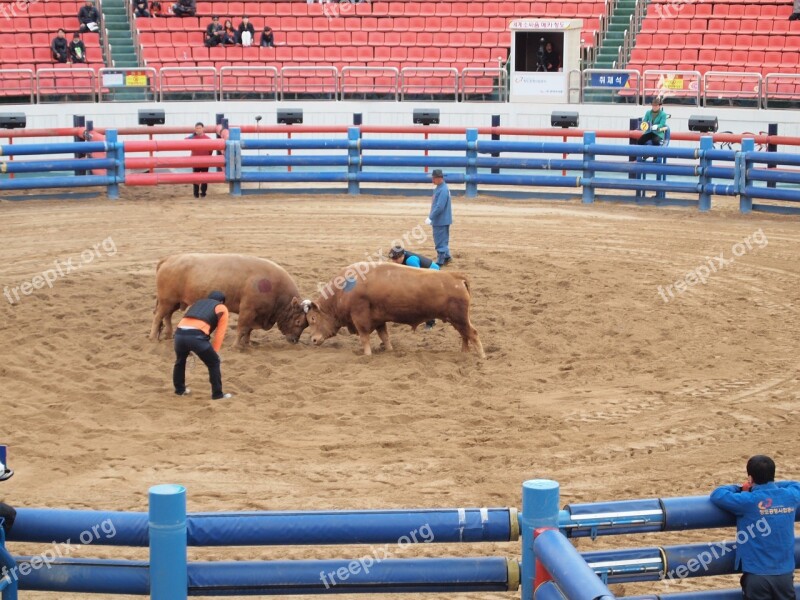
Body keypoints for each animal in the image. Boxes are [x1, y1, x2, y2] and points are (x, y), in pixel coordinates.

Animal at [150, 252, 310, 346]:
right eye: (298, 321)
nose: (295, 340)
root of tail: (169, 259)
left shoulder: (256, 314)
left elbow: (248, 330)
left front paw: (247, 343)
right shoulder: (247, 310)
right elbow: (242, 328)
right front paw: (236, 346)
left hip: (174, 302)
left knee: (167, 316)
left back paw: (168, 335)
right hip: (166, 301)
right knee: (158, 317)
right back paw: (153, 337)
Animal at [302, 262, 484, 356]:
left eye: (313, 318)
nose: (313, 340)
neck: (344, 289)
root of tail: (456, 277)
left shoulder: (360, 317)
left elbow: (365, 337)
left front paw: (367, 354)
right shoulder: (379, 320)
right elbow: (385, 336)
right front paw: (389, 351)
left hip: (459, 318)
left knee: (472, 334)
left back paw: (480, 356)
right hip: (458, 319)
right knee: (465, 335)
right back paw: (464, 354)